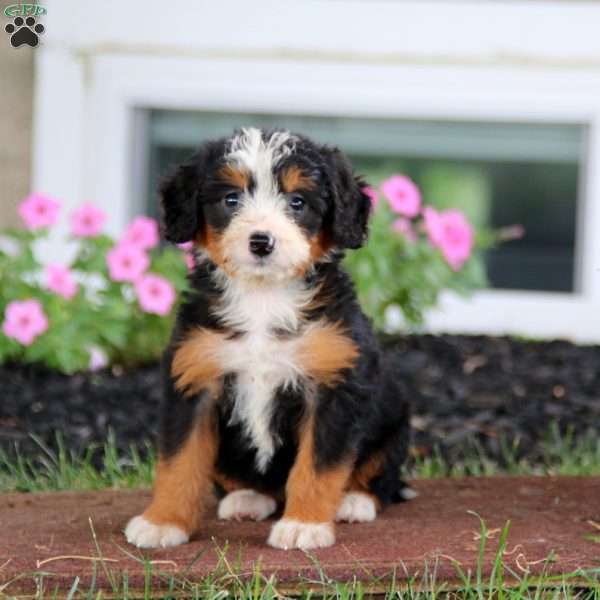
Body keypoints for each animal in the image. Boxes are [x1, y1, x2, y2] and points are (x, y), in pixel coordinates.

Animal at [124, 129, 410, 552]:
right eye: (231, 199)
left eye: (297, 202)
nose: (261, 242)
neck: (263, 298)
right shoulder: (194, 380)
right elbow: (179, 462)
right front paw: (163, 523)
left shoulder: (332, 388)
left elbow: (318, 466)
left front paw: (304, 525)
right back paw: (247, 498)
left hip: (393, 427)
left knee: (381, 477)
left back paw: (354, 501)